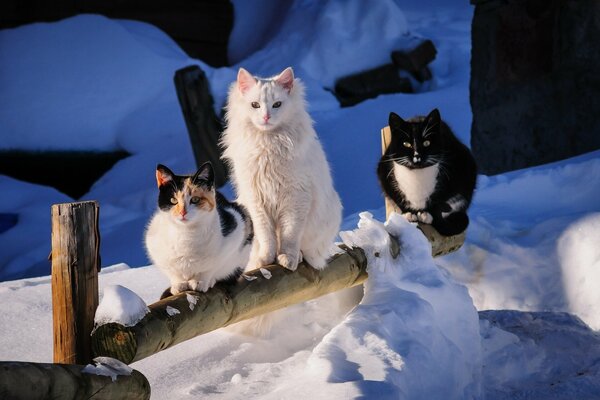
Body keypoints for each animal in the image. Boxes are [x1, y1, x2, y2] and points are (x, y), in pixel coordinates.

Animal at [144, 161, 252, 296]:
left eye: (195, 199)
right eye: (173, 200)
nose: (182, 212)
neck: (186, 234)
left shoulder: (237, 229)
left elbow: (212, 266)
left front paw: (200, 281)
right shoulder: (154, 245)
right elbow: (173, 271)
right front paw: (179, 284)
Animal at [220, 67, 342, 272]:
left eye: (277, 104)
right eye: (255, 105)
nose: (266, 117)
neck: (268, 143)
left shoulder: (296, 197)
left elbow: (290, 235)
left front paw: (288, 259)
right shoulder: (256, 200)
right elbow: (267, 237)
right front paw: (266, 259)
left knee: (308, 251)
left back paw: (298, 257)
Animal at [378, 108, 476, 236]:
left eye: (426, 143)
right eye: (406, 144)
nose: (417, 156)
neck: (417, 174)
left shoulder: (460, 168)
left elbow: (440, 199)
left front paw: (428, 215)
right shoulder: (383, 170)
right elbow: (396, 196)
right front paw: (408, 214)